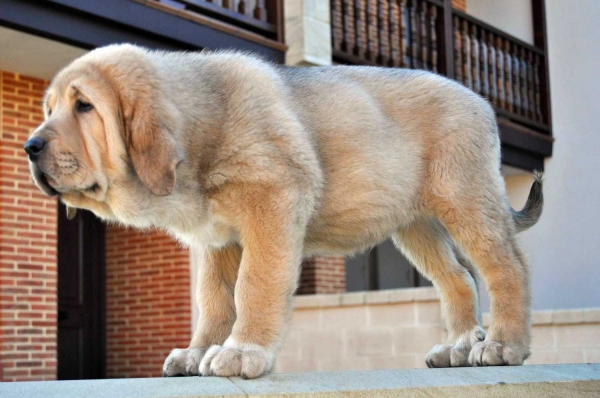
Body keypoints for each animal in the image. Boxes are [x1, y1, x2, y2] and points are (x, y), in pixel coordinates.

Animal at [25, 45, 544, 378]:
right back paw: (460, 345)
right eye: (49, 109)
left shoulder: (272, 202)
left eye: (84, 106)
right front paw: (199, 352)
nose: (30, 147)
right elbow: (214, 299)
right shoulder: (218, 238)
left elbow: (253, 286)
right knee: (458, 278)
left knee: (507, 268)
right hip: (415, 225)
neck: (203, 124)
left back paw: (504, 345)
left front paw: (241, 352)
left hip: (466, 200)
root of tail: (480, 100)